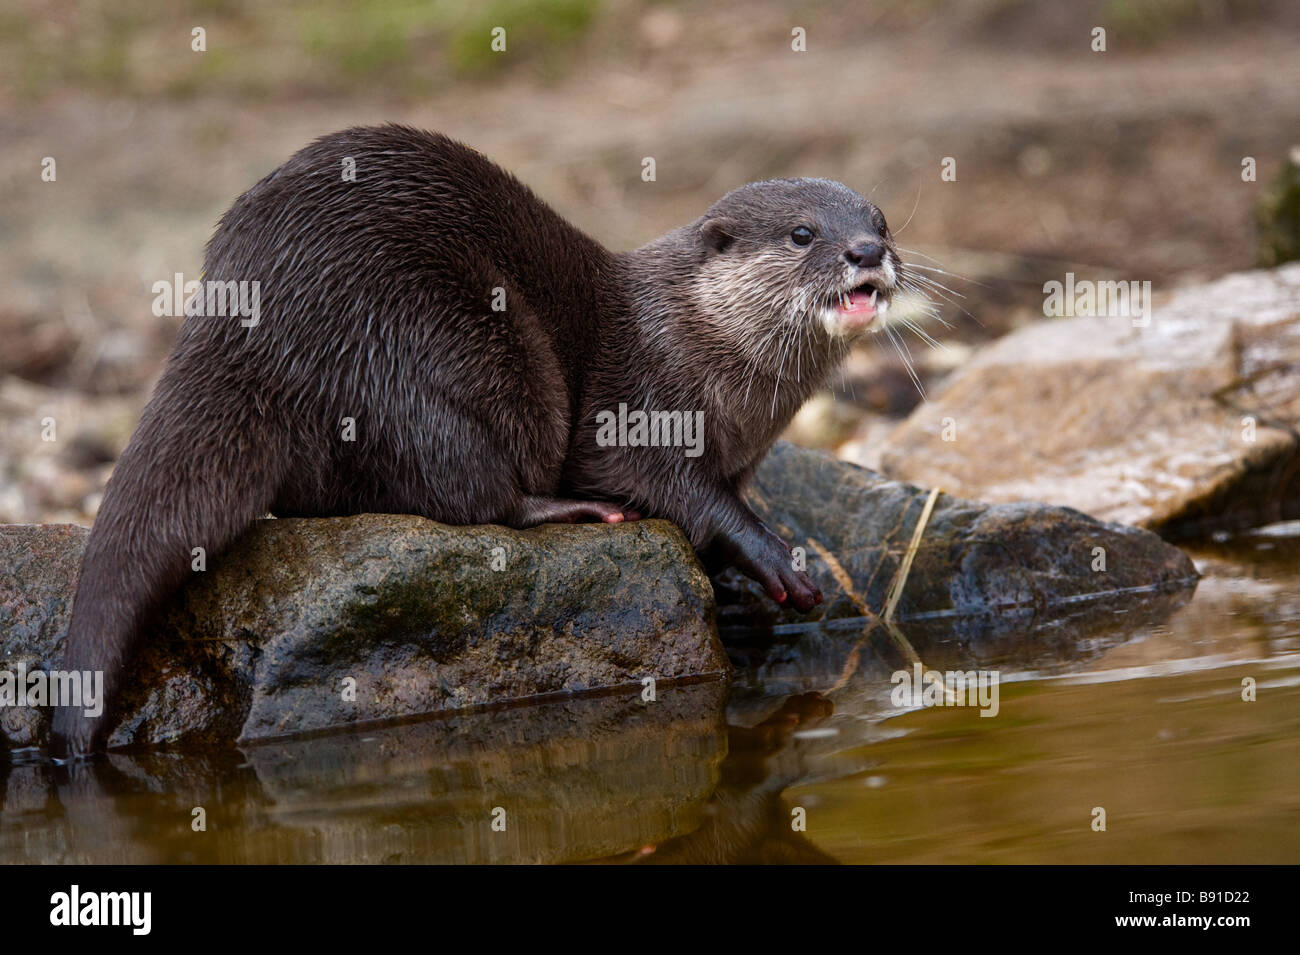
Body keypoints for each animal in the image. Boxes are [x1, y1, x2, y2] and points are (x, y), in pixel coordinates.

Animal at [48, 123, 904, 758]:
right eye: (802, 233)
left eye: (882, 222)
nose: (867, 252)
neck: (699, 347)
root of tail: (247, 329)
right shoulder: (637, 401)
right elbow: (670, 484)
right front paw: (770, 556)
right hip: (433, 352)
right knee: (468, 491)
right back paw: (565, 510)